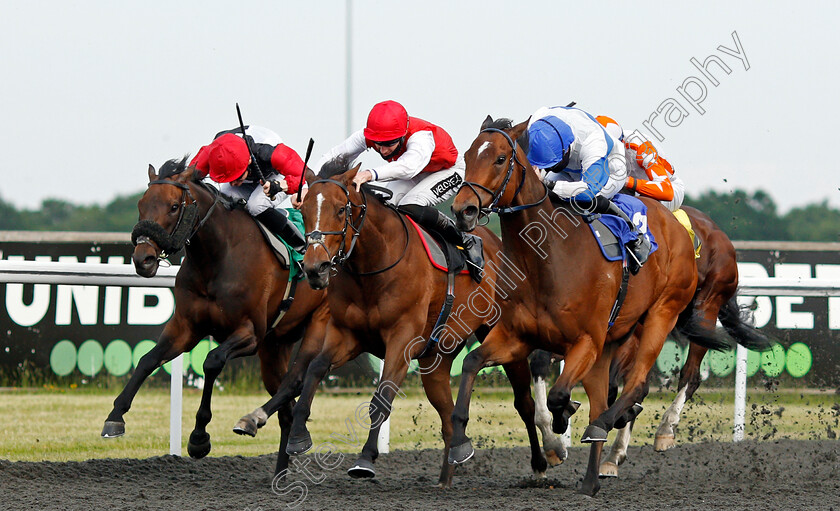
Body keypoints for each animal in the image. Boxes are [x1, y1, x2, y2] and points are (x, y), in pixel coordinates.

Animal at [100, 158, 330, 478]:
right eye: (141, 204)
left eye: (174, 206)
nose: (142, 259)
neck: (218, 256)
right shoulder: (185, 327)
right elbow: (148, 360)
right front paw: (115, 416)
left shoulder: (250, 334)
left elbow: (211, 362)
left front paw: (199, 438)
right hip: (275, 348)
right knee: (285, 404)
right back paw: (281, 469)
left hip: (317, 325)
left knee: (298, 380)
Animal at [278, 159, 548, 488]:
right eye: (303, 211)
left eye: (341, 209)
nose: (315, 268)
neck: (374, 264)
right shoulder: (347, 334)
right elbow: (315, 369)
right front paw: (298, 436)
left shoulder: (402, 338)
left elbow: (381, 398)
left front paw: (365, 459)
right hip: (437, 358)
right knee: (447, 417)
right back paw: (451, 467)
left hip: (502, 334)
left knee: (523, 402)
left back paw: (540, 464)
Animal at [446, 119, 728, 496]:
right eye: (467, 155)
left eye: (500, 158)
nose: (463, 210)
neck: (548, 259)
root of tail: (684, 230)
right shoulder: (517, 336)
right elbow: (473, 363)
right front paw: (461, 443)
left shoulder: (585, 342)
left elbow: (558, 394)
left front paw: (561, 428)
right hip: (612, 342)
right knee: (606, 395)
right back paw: (592, 478)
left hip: (661, 315)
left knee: (637, 385)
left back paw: (625, 428)